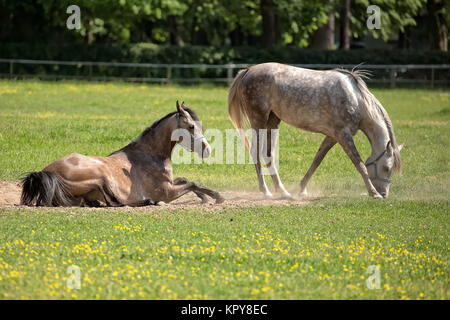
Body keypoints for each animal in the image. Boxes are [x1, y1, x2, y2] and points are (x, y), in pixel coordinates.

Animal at [21, 102, 225, 208]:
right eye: (191, 126)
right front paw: (216, 196)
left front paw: (204, 197)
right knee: (114, 202)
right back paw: (147, 201)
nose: (207, 150)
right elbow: (192, 183)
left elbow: (186, 180)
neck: (149, 155)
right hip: (100, 175)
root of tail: (46, 172)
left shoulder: (170, 183)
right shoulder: (167, 192)